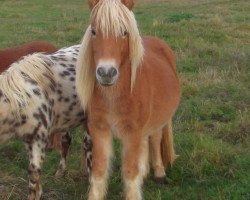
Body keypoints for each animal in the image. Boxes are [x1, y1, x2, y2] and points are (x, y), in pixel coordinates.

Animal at [75, 0, 181, 199]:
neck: (114, 96)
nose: (106, 73)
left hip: (157, 121)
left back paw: (159, 173)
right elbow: (99, 171)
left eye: (124, 32)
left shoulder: (132, 133)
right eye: (94, 31)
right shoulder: (99, 129)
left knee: (155, 139)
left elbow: (130, 172)